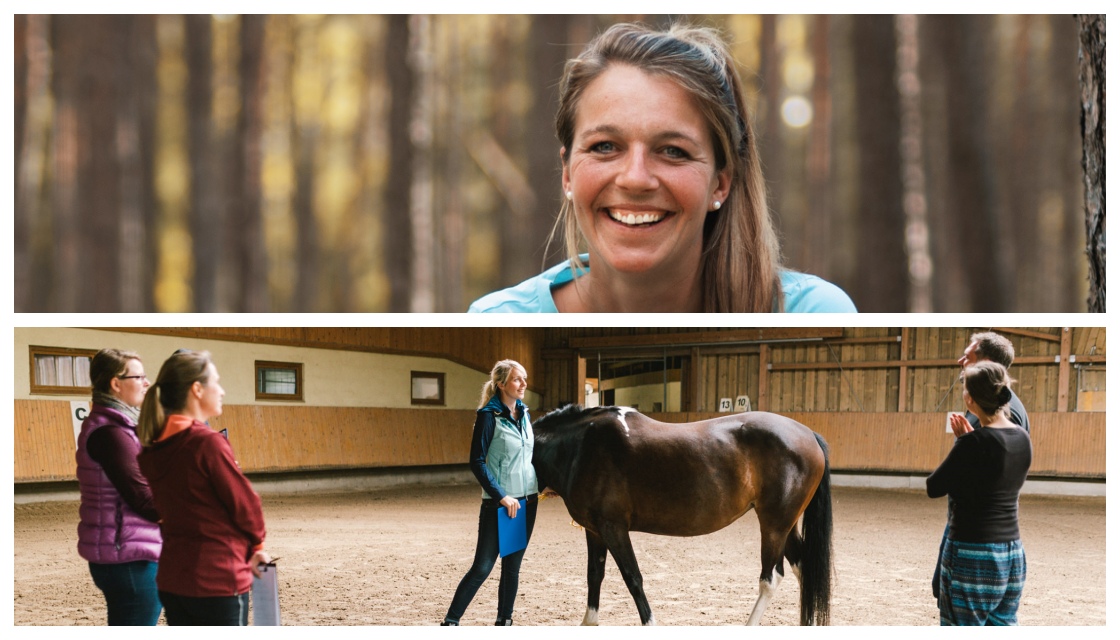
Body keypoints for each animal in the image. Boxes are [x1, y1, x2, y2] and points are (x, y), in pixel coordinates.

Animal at [530, 405, 833, 627]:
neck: (580, 448)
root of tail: (809, 434)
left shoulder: (613, 527)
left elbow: (633, 578)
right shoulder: (594, 530)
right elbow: (595, 575)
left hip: (773, 526)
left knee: (770, 579)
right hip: (786, 526)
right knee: (804, 571)